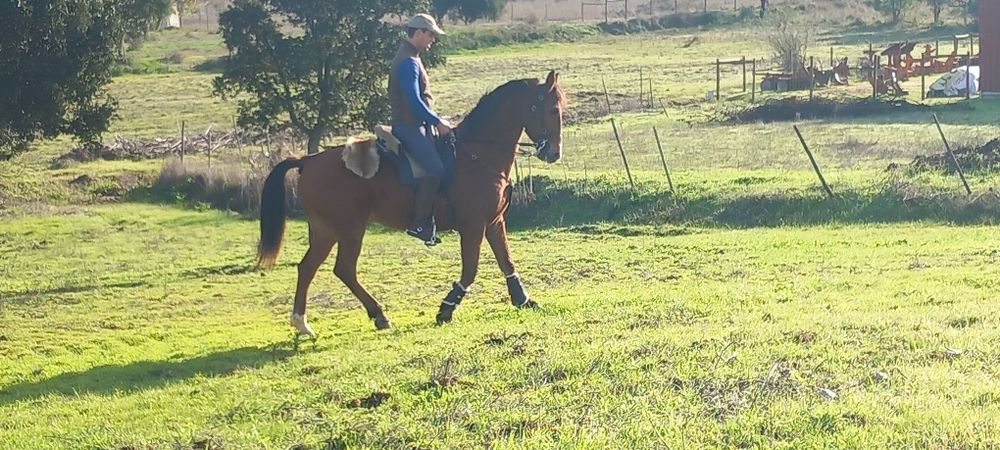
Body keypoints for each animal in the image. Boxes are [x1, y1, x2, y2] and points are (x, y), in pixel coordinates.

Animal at [255, 71, 565, 335]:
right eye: (552, 110)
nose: (553, 153)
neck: (477, 154)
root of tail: (308, 161)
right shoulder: (473, 226)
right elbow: (470, 269)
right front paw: (446, 309)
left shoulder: (493, 222)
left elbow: (506, 260)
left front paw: (523, 299)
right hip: (349, 230)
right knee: (342, 269)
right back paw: (373, 315)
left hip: (326, 231)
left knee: (308, 267)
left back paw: (305, 322)